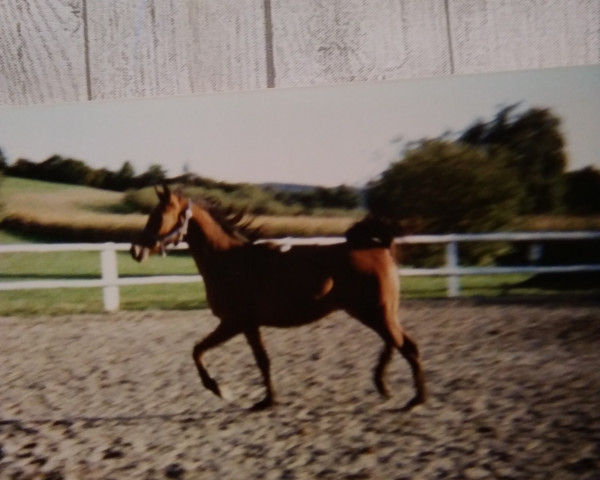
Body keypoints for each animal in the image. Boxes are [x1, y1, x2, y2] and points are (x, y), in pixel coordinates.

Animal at [130, 186, 426, 410]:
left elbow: (201, 351)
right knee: (397, 343)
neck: (229, 261)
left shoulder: (235, 323)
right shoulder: (247, 325)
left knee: (406, 346)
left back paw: (415, 399)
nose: (136, 251)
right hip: (370, 312)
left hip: (376, 312)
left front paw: (224, 391)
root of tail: (379, 246)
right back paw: (384, 386)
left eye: (159, 217)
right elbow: (258, 359)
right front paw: (266, 400)